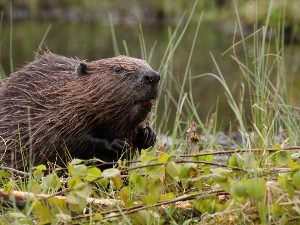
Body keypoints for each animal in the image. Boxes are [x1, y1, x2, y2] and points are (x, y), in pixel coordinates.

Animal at [0, 52, 159, 169]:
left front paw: (148, 135)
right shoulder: (53, 114)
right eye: (117, 69)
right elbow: (66, 140)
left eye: (146, 63)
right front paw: (116, 144)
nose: (153, 76)